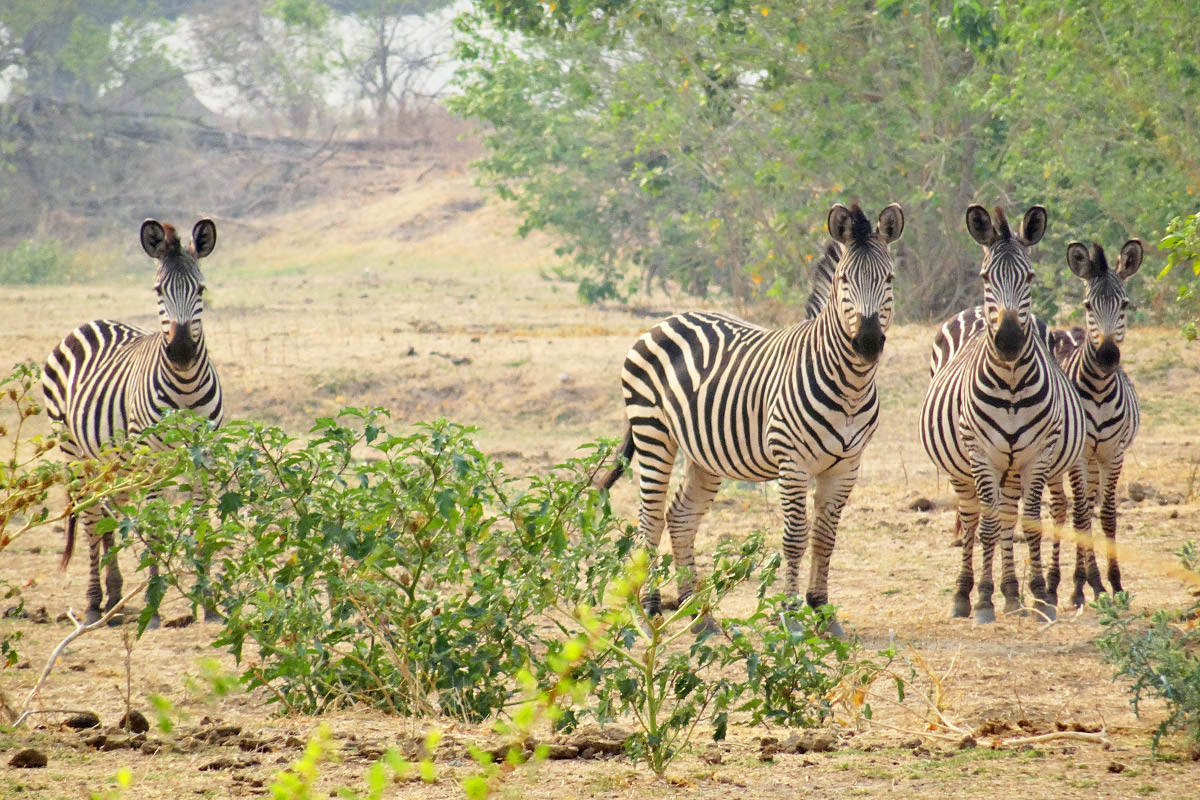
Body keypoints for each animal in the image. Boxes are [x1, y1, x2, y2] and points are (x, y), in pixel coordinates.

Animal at [43, 217, 224, 623]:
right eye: (158, 290)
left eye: (201, 288)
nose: (182, 350)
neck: (185, 387)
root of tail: (90, 322)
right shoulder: (153, 458)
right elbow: (154, 527)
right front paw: (154, 610)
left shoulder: (203, 455)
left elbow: (203, 523)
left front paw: (209, 605)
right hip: (74, 453)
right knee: (92, 518)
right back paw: (93, 604)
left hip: (117, 463)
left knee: (112, 513)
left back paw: (114, 596)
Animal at [595, 201, 902, 638]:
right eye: (844, 279)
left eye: (889, 278)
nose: (869, 342)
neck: (850, 385)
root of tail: (666, 320)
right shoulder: (792, 462)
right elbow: (796, 536)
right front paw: (791, 615)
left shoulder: (847, 465)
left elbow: (825, 538)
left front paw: (823, 613)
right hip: (653, 432)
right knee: (649, 519)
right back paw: (649, 610)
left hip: (703, 453)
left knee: (680, 517)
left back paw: (697, 613)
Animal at [916, 203, 1089, 623]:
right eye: (985, 276)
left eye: (1029, 276)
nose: (1009, 340)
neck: (1010, 382)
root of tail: (973, 310)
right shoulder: (980, 454)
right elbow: (989, 526)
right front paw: (981, 601)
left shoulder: (1038, 456)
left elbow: (1029, 523)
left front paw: (1039, 595)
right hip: (962, 466)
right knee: (975, 518)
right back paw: (964, 595)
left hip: (1012, 466)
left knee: (1008, 515)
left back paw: (1011, 594)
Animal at [1046, 237, 1147, 606]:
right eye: (1088, 305)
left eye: (1125, 304)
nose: (1106, 357)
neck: (1101, 391)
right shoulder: (1076, 456)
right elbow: (1078, 516)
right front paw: (1076, 587)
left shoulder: (1113, 454)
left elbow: (1106, 514)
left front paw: (1114, 583)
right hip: (1060, 459)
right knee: (1064, 509)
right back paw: (1059, 584)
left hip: (1093, 460)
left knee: (1087, 506)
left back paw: (1096, 582)